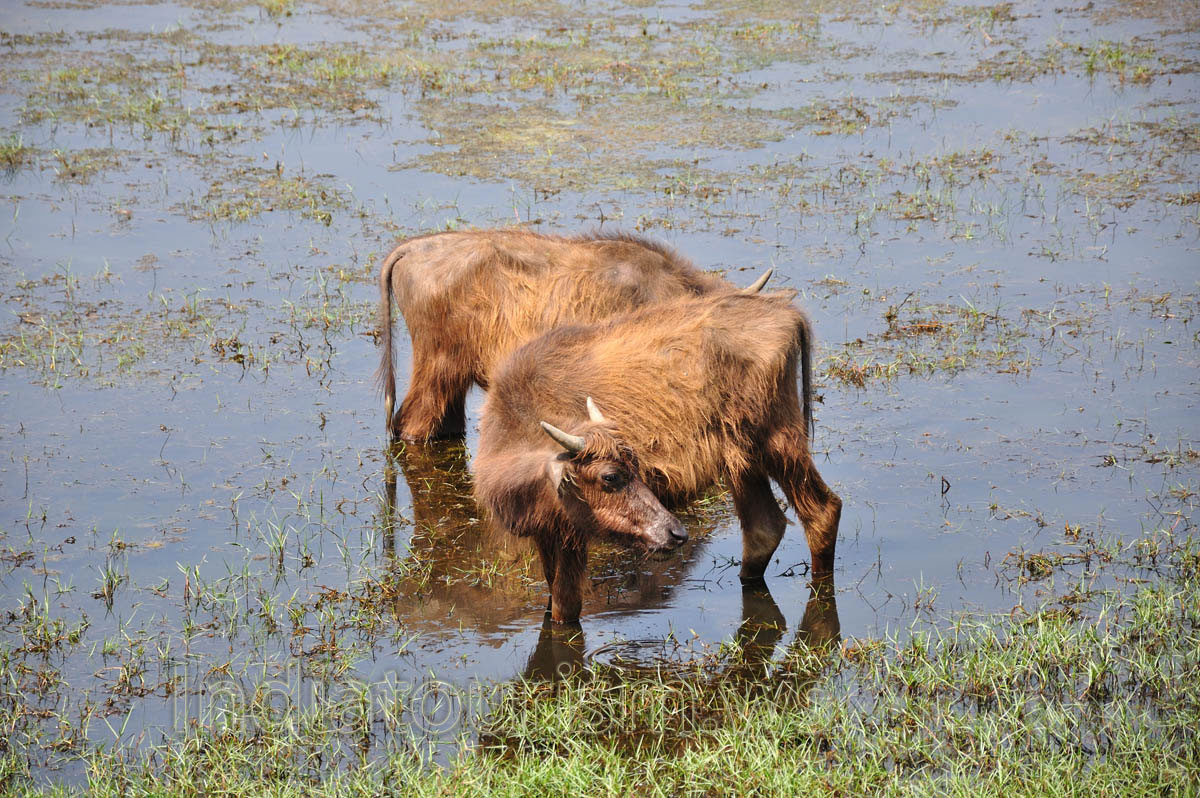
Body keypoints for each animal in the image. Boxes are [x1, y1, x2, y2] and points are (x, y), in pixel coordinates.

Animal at [472, 292, 842, 623]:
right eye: (612, 477)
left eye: (632, 469)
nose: (675, 533)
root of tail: (786, 314)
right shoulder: (548, 533)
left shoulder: (571, 540)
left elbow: (566, 608)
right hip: (742, 461)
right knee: (763, 527)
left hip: (778, 444)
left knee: (822, 511)